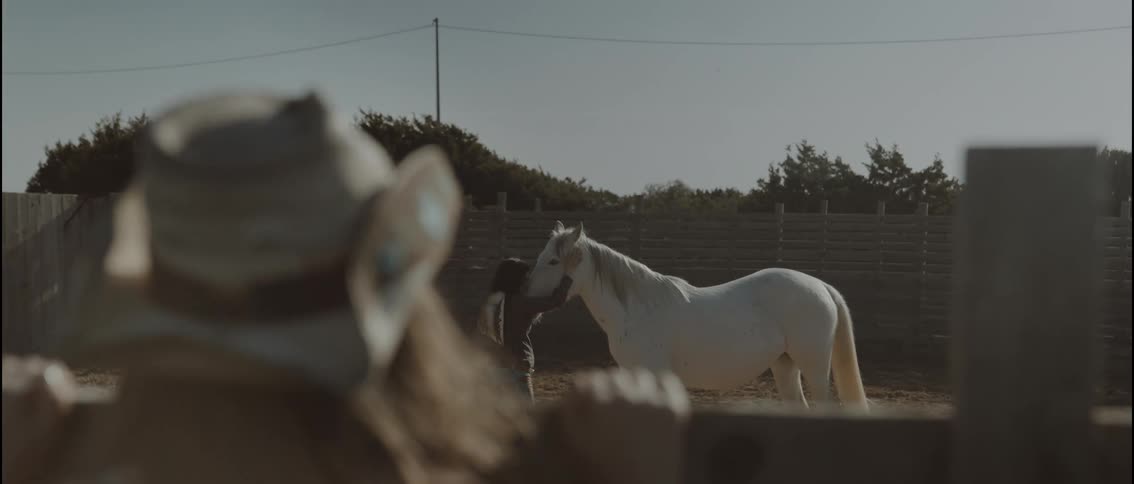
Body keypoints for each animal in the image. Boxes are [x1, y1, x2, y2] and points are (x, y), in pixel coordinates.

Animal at [524, 221, 869, 411]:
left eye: (553, 261)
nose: (525, 294)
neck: (636, 309)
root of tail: (821, 286)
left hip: (815, 367)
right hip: (785, 365)